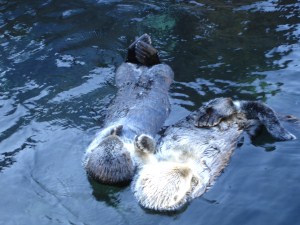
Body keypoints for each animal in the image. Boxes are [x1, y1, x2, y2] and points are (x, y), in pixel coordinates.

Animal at [84, 33, 173, 185]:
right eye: (122, 151)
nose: (117, 132)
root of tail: (143, 71)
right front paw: (141, 142)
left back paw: (141, 46)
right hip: (148, 72)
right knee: (156, 65)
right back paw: (145, 52)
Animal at [132, 98, 296, 211]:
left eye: (183, 174)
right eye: (185, 178)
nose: (189, 170)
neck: (176, 159)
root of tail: (240, 115)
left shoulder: (144, 166)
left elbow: (143, 154)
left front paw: (142, 141)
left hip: (209, 108)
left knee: (225, 102)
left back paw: (210, 116)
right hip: (253, 125)